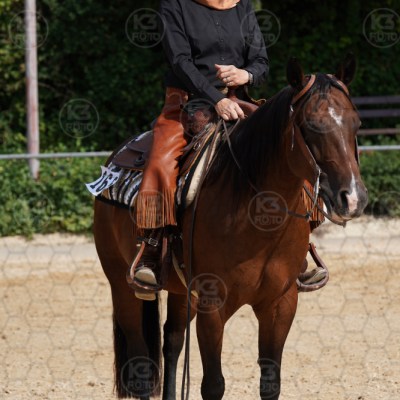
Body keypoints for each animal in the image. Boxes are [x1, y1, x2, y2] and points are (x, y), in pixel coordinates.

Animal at [93, 55, 368, 400]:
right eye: (310, 125)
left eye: (356, 124)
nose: (353, 198)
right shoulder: (213, 306)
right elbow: (213, 385)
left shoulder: (280, 304)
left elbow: (270, 384)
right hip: (121, 284)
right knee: (141, 361)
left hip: (181, 292)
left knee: (172, 341)